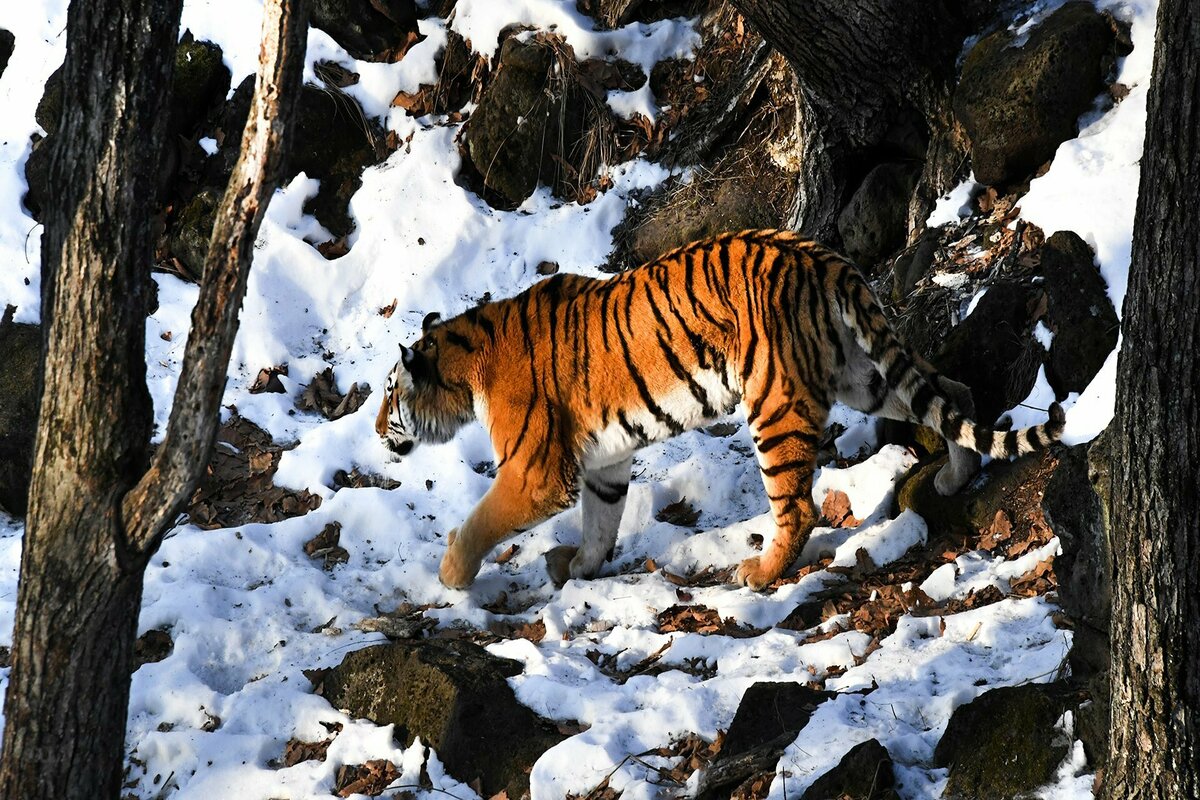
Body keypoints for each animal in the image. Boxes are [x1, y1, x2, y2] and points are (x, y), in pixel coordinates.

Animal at [372, 227, 1060, 592]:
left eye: (388, 393)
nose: (377, 430)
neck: (466, 368)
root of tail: (822, 256)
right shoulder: (603, 463)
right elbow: (601, 521)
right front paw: (583, 567)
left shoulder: (535, 470)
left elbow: (482, 519)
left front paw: (451, 573)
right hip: (859, 375)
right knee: (955, 394)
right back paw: (953, 479)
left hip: (775, 403)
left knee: (799, 507)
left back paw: (759, 572)